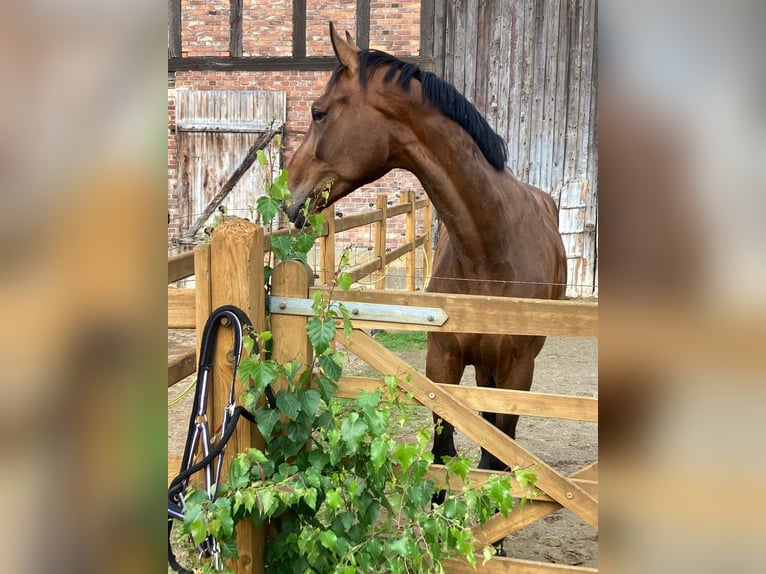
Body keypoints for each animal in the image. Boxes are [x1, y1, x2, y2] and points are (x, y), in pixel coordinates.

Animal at [284, 24, 568, 476]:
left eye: (318, 112)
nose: (287, 191)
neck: (490, 254)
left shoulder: (518, 373)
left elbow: (497, 456)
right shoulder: (442, 366)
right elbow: (443, 456)